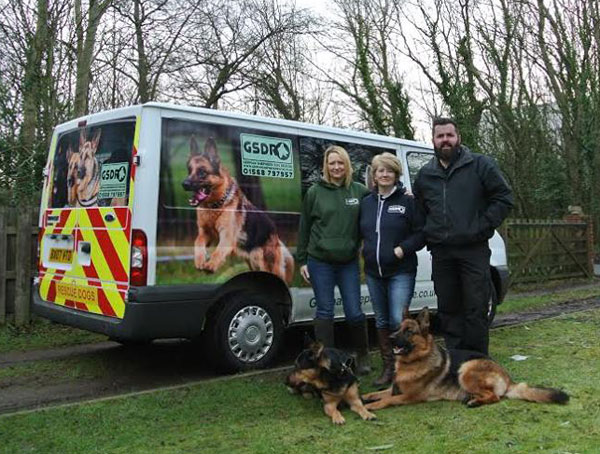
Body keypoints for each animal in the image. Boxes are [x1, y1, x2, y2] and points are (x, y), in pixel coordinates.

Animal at [183, 135, 296, 284]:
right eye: (189, 171)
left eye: (202, 172)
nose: (184, 184)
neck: (216, 206)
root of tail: (276, 235)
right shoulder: (205, 233)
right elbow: (198, 243)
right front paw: (200, 260)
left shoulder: (227, 235)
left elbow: (218, 251)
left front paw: (211, 265)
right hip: (254, 265)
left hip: (267, 266)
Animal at [364, 306, 568, 410]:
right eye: (398, 328)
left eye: (408, 331)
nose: (391, 338)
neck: (412, 362)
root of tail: (508, 379)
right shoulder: (394, 389)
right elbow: (376, 393)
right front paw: (365, 397)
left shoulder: (411, 396)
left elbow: (388, 400)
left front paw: (373, 406)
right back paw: (471, 398)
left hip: (465, 369)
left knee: (495, 396)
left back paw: (474, 402)